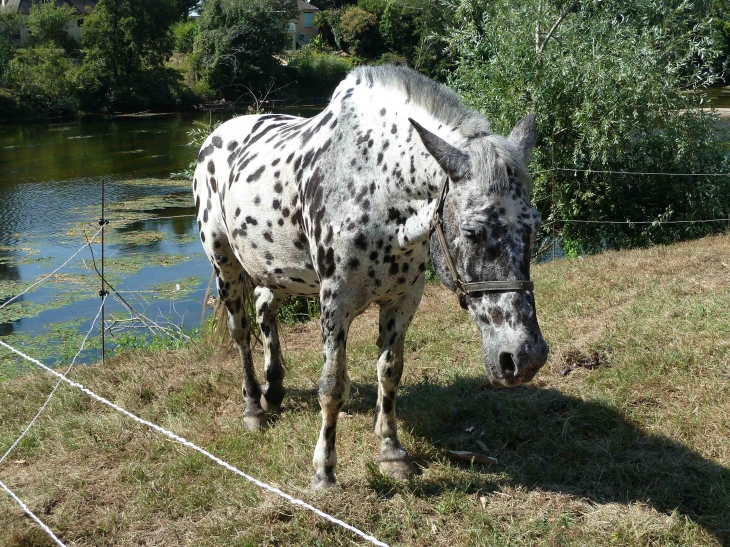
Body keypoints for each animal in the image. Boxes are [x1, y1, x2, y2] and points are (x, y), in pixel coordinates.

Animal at [193, 64, 544, 488]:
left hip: (277, 271)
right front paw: (324, 469)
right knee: (241, 331)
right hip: (225, 265)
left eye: (534, 227)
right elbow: (331, 387)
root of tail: (216, 136)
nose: (524, 358)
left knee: (265, 309)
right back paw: (253, 408)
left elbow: (390, 373)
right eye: (472, 231)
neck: (376, 187)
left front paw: (391, 452)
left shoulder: (403, 300)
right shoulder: (335, 302)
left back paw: (273, 390)